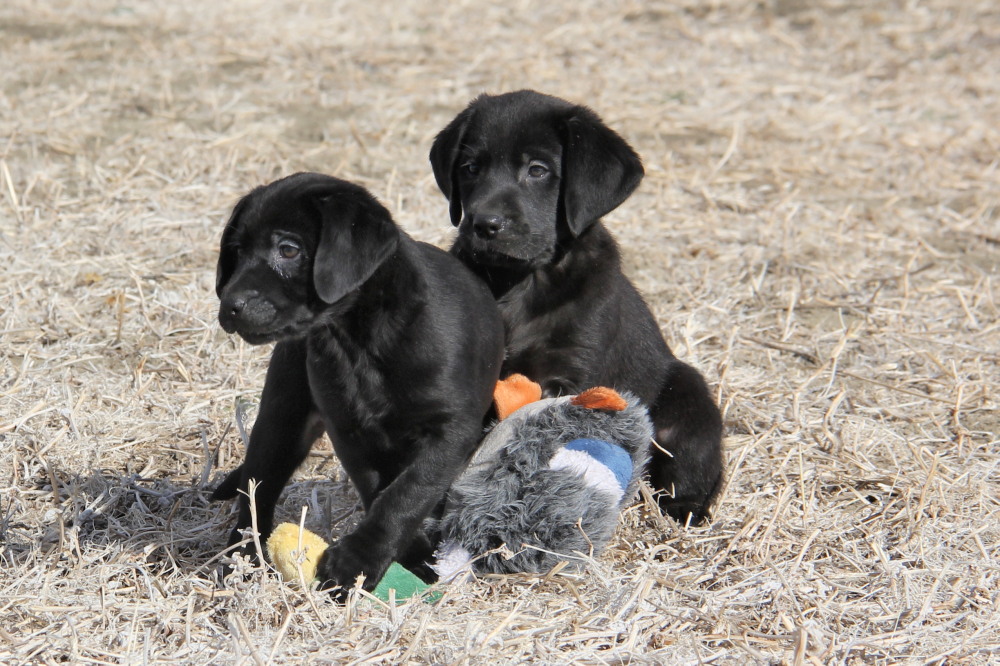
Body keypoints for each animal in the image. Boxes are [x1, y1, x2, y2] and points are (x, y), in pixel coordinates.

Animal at [214, 172, 504, 592]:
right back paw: (243, 559)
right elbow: (379, 490)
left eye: (288, 250)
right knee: (258, 491)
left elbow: (409, 491)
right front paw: (394, 555)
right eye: (235, 250)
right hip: (280, 421)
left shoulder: (451, 431)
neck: (358, 340)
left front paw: (359, 560)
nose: (229, 306)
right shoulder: (349, 430)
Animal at [430, 89, 728, 524]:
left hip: (687, 404)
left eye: (538, 170)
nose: (484, 224)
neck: (521, 282)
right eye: (470, 168)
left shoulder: (572, 370)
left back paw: (685, 509)